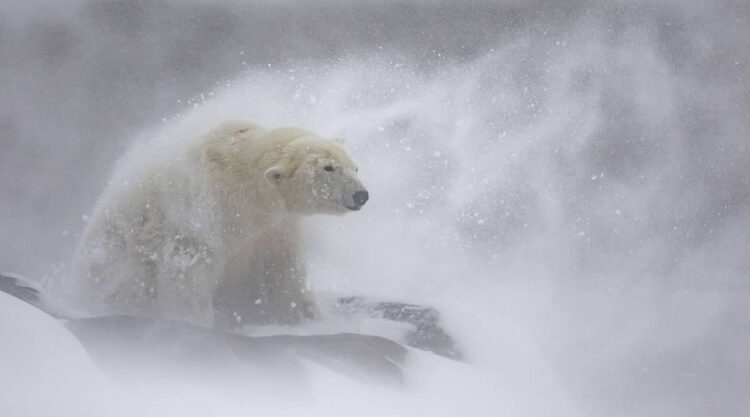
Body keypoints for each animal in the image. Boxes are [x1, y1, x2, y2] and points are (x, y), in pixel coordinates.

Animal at [69, 122, 368, 326]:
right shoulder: (205, 212)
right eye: (328, 168)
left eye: (354, 167)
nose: (361, 195)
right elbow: (189, 266)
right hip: (116, 252)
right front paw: (194, 321)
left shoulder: (276, 226)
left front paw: (305, 315)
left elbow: (282, 267)